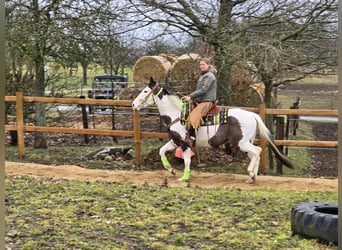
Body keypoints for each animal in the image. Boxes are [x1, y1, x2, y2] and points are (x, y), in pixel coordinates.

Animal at [132, 77, 294, 184]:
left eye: (145, 91)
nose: (133, 104)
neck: (177, 114)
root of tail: (252, 114)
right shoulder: (175, 141)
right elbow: (161, 151)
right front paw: (170, 170)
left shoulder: (185, 143)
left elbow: (187, 160)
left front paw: (184, 177)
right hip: (246, 142)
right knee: (255, 153)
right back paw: (252, 177)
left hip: (241, 143)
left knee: (257, 151)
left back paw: (251, 174)